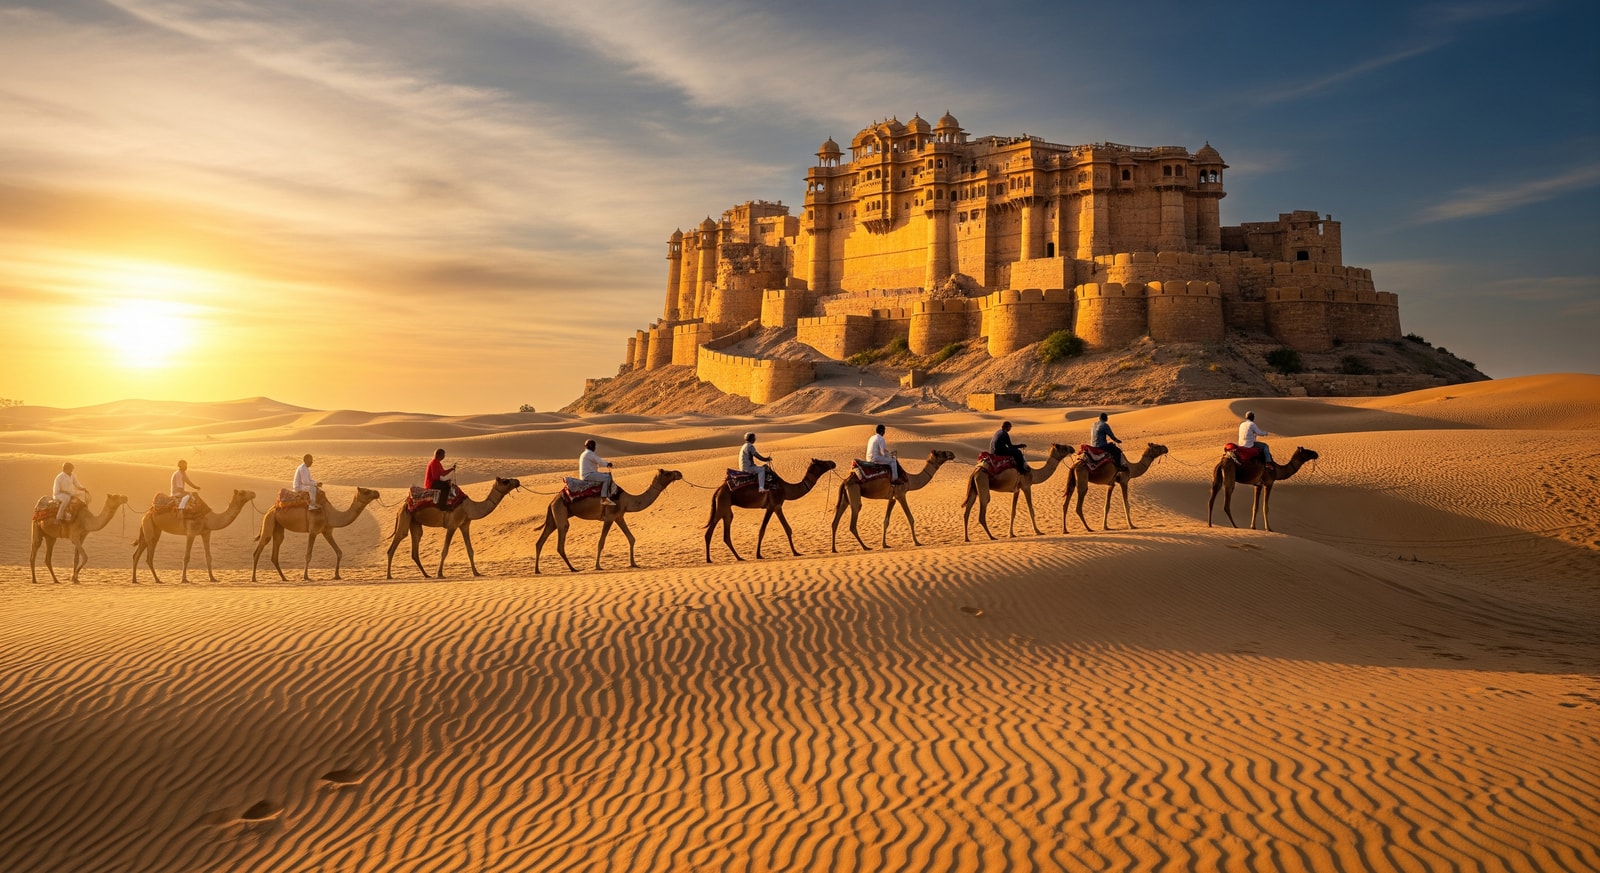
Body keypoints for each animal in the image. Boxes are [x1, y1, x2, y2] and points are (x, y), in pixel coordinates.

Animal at [252, 487, 381, 582]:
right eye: (366, 491)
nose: (377, 492)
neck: (330, 514)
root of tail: (269, 510)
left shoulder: (327, 531)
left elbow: (339, 552)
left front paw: (337, 576)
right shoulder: (313, 531)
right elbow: (308, 555)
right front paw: (306, 577)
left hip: (278, 527)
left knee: (275, 550)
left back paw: (284, 578)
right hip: (269, 522)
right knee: (259, 548)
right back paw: (254, 578)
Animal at [386, 477, 521, 579]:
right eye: (505, 481)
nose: (517, 481)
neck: (468, 508)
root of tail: (403, 505)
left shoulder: (465, 525)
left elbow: (470, 550)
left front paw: (476, 572)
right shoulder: (452, 525)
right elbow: (445, 551)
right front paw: (440, 574)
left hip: (415, 523)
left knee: (415, 546)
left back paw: (426, 575)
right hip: (405, 517)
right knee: (396, 542)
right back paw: (389, 576)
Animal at [535, 469, 683, 573]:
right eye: (668, 473)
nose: (679, 473)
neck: (627, 500)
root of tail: (553, 500)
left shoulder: (619, 517)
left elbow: (631, 538)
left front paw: (633, 563)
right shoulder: (609, 517)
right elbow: (601, 542)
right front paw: (597, 566)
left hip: (553, 517)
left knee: (540, 541)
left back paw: (537, 570)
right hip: (560, 512)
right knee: (561, 540)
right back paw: (573, 568)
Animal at [704, 458, 836, 563]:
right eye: (821, 462)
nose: (833, 463)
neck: (786, 488)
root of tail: (718, 490)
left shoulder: (777, 506)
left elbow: (787, 529)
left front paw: (796, 552)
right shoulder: (772, 505)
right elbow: (762, 530)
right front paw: (758, 555)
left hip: (726, 509)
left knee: (725, 534)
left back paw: (738, 557)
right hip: (723, 505)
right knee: (711, 531)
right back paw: (710, 559)